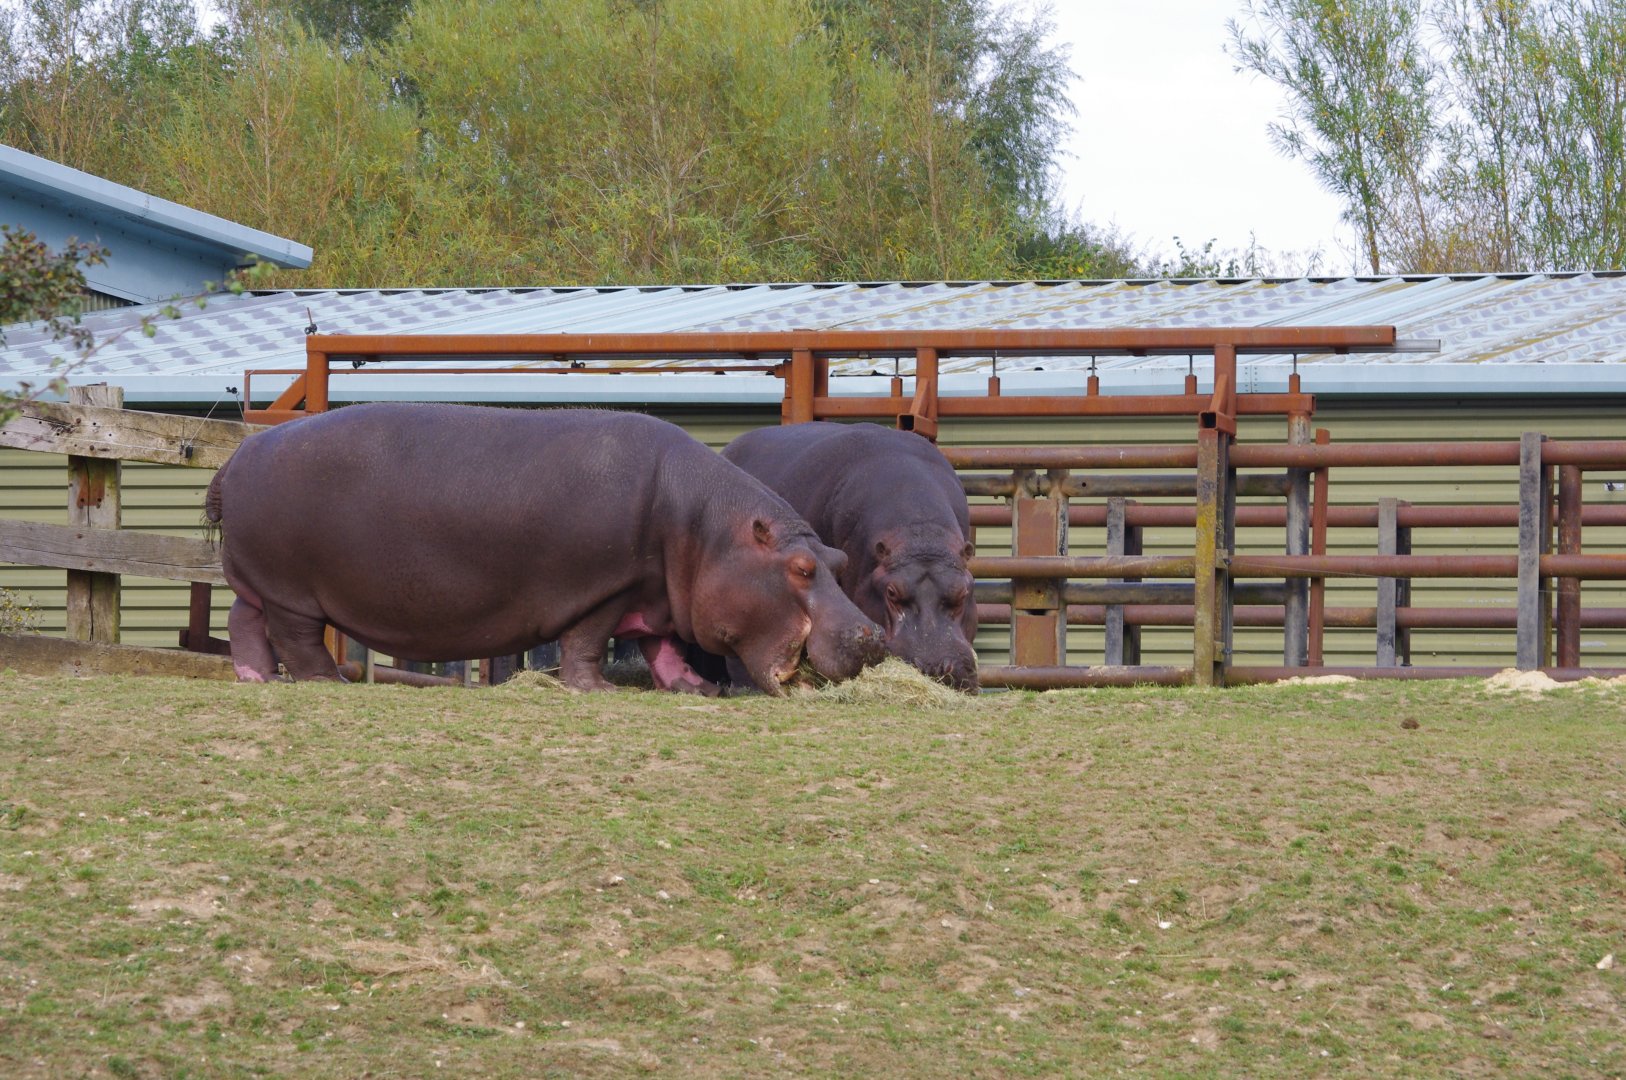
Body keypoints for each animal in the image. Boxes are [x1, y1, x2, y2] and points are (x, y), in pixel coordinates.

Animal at [205, 403, 886, 695]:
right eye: (800, 568)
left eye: (839, 562)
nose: (874, 636)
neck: (707, 528)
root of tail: (237, 455)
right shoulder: (606, 586)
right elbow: (588, 640)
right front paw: (597, 691)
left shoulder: (659, 594)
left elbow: (662, 644)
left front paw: (693, 687)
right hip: (292, 588)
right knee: (295, 638)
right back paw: (326, 682)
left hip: (257, 581)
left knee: (243, 621)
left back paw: (253, 677)